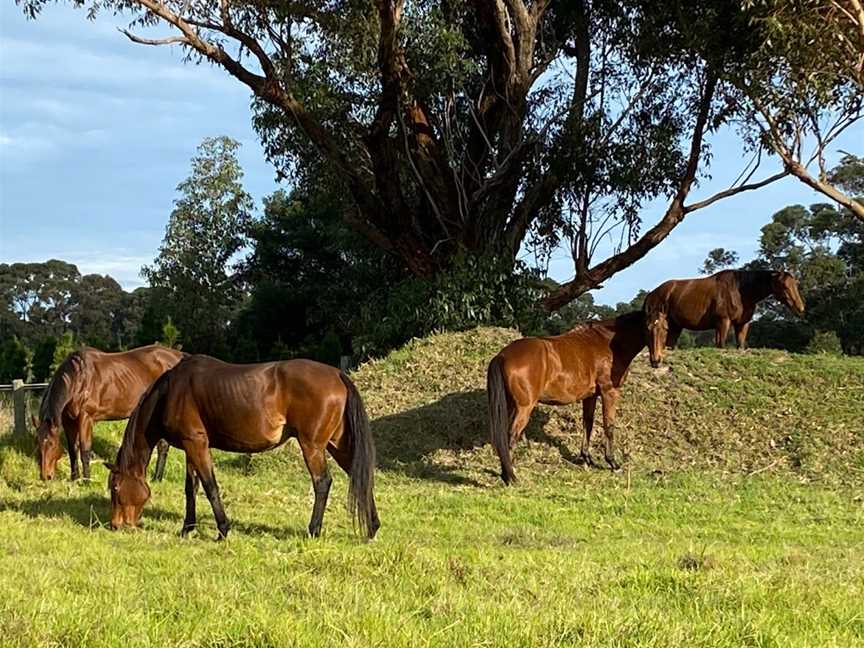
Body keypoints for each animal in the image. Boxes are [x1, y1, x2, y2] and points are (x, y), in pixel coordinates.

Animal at [33, 344, 184, 480]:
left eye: (51, 444)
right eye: (38, 443)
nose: (45, 476)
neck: (79, 379)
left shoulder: (86, 418)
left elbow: (84, 450)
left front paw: (86, 480)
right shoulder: (68, 420)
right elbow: (72, 449)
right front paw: (74, 478)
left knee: (163, 445)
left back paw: (156, 478)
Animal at [105, 354, 378, 540]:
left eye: (115, 488)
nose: (116, 525)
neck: (171, 392)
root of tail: (338, 374)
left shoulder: (196, 443)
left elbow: (210, 487)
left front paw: (222, 530)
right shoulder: (190, 446)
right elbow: (190, 488)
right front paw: (187, 528)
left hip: (312, 446)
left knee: (322, 482)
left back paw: (313, 530)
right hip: (337, 445)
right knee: (361, 477)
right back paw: (372, 528)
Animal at [486, 312, 648, 484]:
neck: (609, 342)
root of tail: (502, 355)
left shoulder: (590, 397)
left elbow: (587, 424)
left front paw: (587, 459)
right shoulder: (609, 392)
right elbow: (609, 426)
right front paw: (613, 463)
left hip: (510, 405)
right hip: (524, 408)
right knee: (511, 436)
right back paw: (511, 477)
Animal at [640, 268, 804, 368]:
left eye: (795, 285)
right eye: (784, 286)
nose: (800, 308)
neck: (740, 291)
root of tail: (651, 294)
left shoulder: (742, 324)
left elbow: (740, 345)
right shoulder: (723, 322)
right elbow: (721, 345)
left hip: (674, 327)